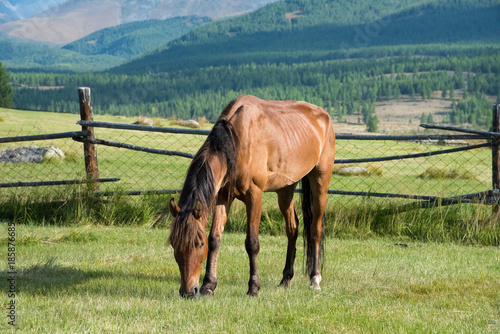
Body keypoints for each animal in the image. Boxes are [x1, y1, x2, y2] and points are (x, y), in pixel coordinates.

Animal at [169, 94, 336, 298]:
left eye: (199, 244)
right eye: (174, 244)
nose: (188, 291)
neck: (236, 140)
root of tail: (325, 116)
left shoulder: (254, 196)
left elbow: (252, 243)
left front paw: (253, 287)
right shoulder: (223, 197)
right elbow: (215, 239)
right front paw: (209, 285)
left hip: (320, 182)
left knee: (315, 231)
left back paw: (315, 279)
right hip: (285, 189)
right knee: (292, 228)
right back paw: (286, 278)